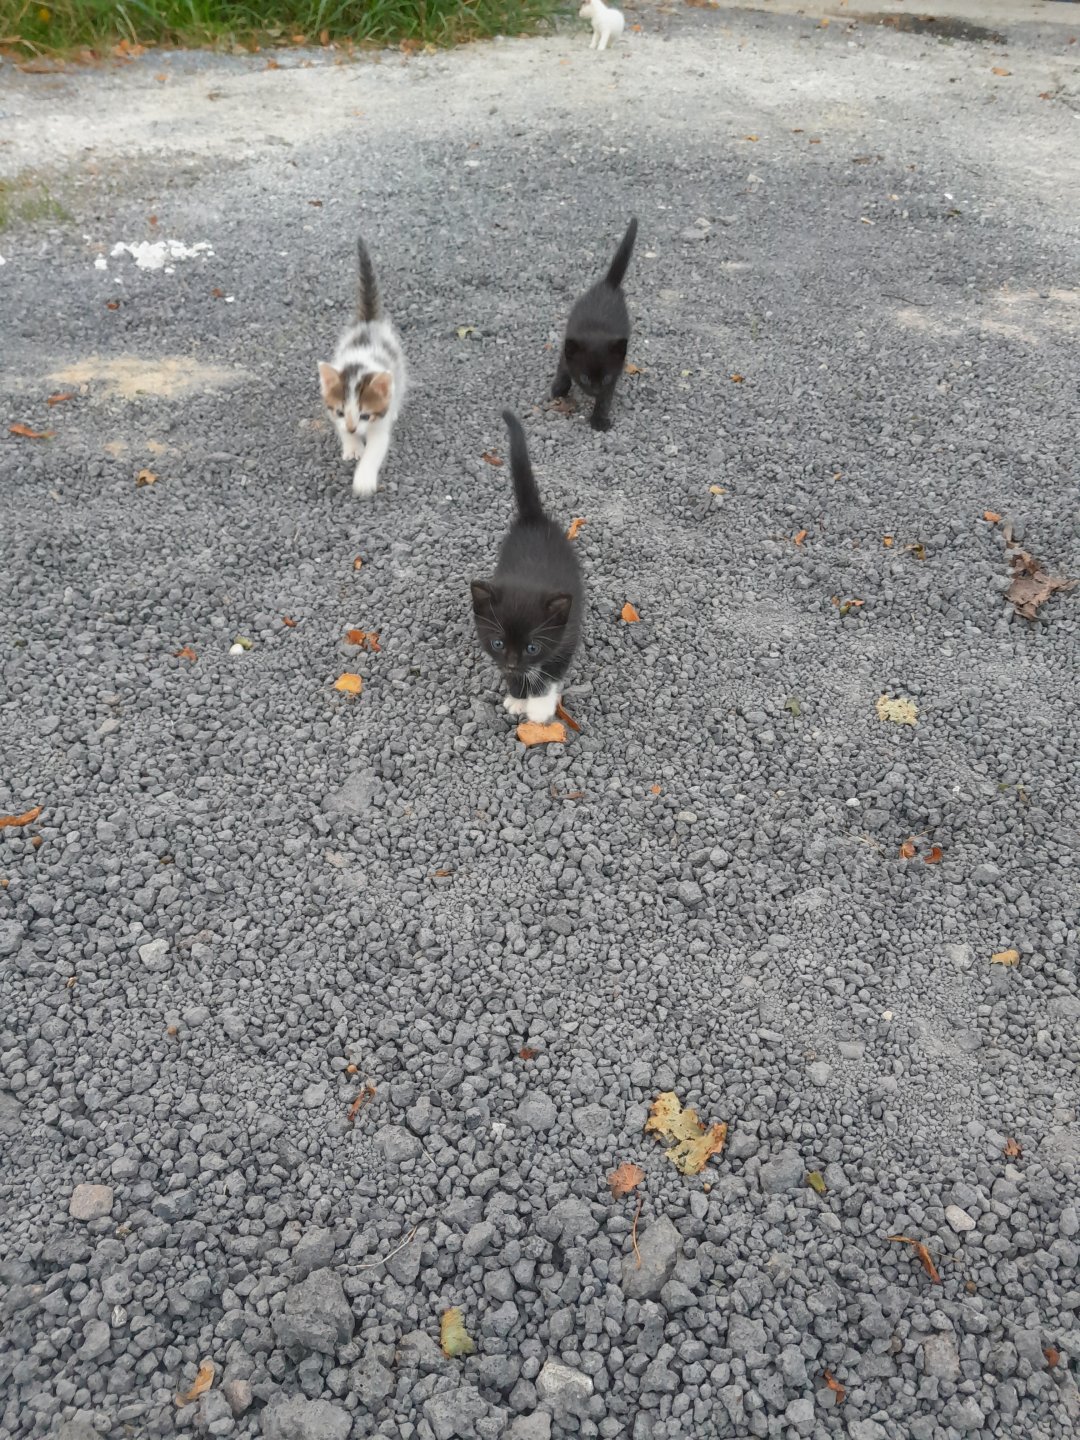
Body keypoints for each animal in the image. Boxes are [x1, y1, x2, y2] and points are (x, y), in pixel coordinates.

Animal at [317, 236, 406, 497]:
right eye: (340, 412)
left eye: (365, 415)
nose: (352, 429)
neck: (359, 363)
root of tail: (368, 321)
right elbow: (340, 429)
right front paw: (352, 446)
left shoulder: (379, 424)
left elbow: (376, 449)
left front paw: (364, 479)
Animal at [471, 411, 584, 725]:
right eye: (498, 644)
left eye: (532, 647)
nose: (511, 664)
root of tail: (533, 518)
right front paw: (517, 696)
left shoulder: (567, 633)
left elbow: (552, 668)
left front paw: (539, 706)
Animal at [552, 217, 637, 432]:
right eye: (585, 378)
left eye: (604, 379)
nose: (594, 391)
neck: (595, 334)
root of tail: (609, 285)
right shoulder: (567, 348)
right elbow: (563, 368)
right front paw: (559, 388)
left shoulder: (613, 376)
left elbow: (606, 399)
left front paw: (599, 419)